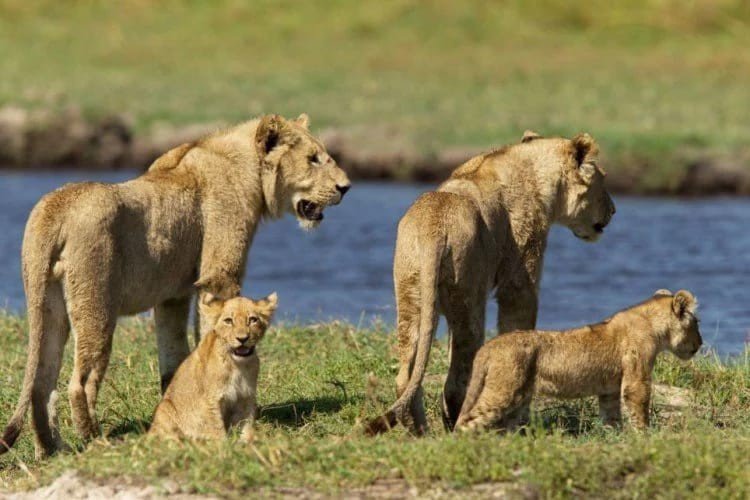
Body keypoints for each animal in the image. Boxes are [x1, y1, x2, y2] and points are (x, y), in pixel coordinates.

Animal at [1, 113, 352, 458]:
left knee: (42, 383)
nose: (345, 187)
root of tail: (55, 208)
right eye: (313, 158)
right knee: (80, 381)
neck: (246, 168)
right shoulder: (218, 275)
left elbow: (173, 358)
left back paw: (52, 450)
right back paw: (94, 441)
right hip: (96, 301)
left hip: (46, 304)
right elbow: (212, 332)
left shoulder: (173, 295)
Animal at [368, 130, 616, 434]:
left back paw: (418, 430)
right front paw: (521, 420)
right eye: (603, 181)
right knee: (457, 379)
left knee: (407, 374)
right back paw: (458, 424)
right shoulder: (521, 275)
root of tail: (434, 230)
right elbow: (517, 324)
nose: (614, 211)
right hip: (469, 297)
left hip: (411, 296)